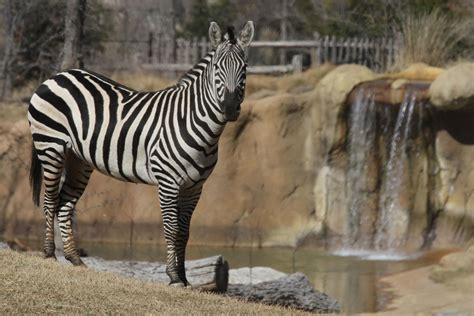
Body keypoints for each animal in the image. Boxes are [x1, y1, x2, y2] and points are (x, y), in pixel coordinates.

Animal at [27, 21, 254, 286]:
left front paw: (185, 278)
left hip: (78, 160)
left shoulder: (194, 187)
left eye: (245, 68)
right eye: (218, 68)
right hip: (50, 146)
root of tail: (57, 76)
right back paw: (49, 254)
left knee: (65, 203)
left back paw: (75, 258)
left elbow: (184, 232)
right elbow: (171, 228)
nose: (230, 108)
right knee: (50, 200)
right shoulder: (168, 182)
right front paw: (174, 277)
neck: (191, 121)